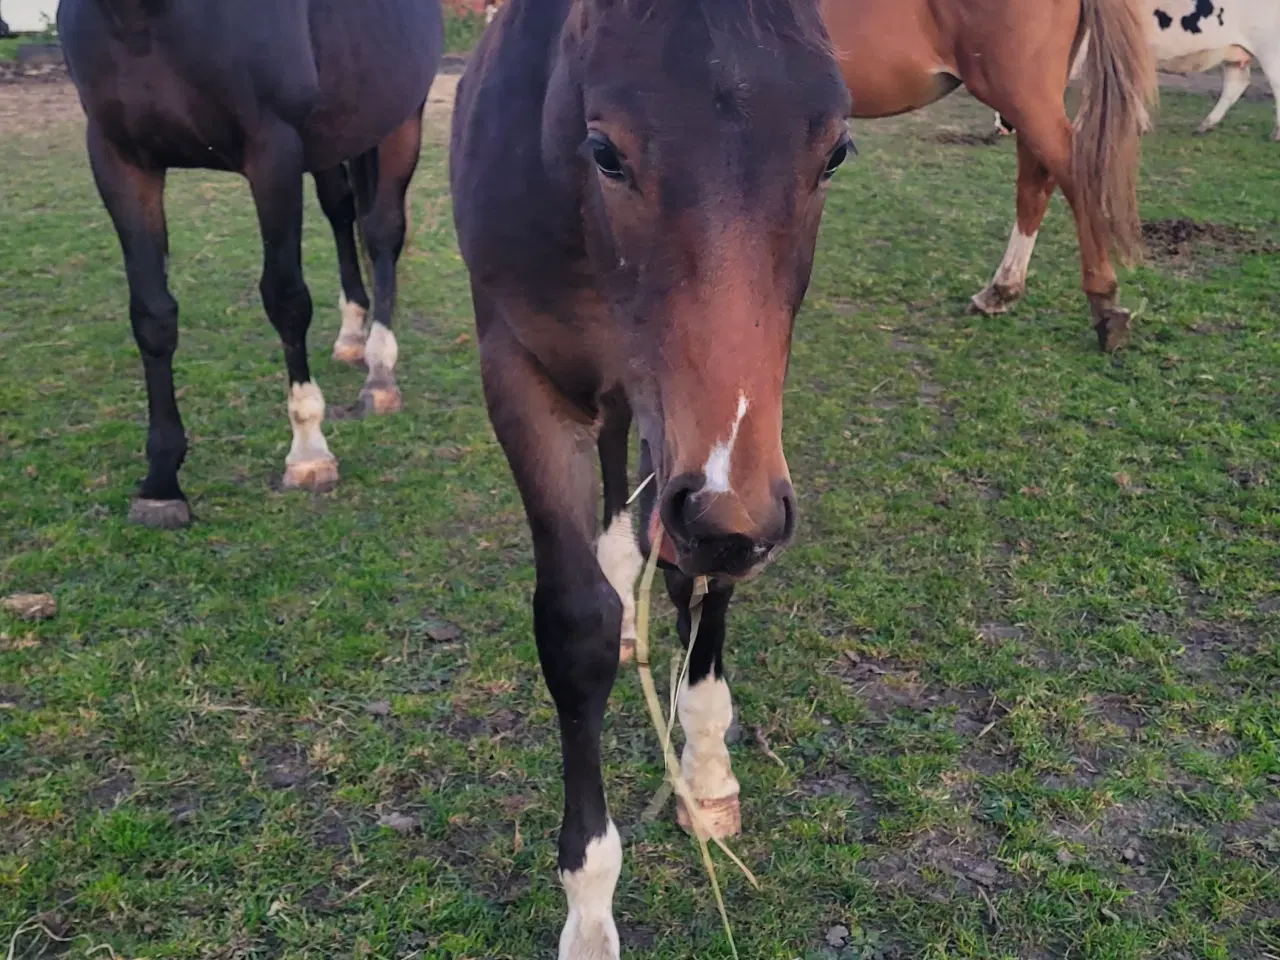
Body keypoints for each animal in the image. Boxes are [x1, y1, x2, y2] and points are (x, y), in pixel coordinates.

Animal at [60, 0, 445, 529]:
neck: (144, 17)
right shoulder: (120, 159)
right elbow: (152, 315)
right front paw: (160, 484)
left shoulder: (273, 151)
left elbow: (286, 300)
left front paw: (309, 452)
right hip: (333, 137)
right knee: (342, 211)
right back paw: (351, 335)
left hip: (400, 120)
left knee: (383, 232)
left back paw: (379, 374)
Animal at [450, 0, 849, 957]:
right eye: (604, 151)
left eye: (835, 153)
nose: (716, 503)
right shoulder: (523, 378)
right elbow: (575, 627)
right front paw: (590, 909)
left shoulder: (731, 454)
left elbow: (705, 574)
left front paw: (704, 772)